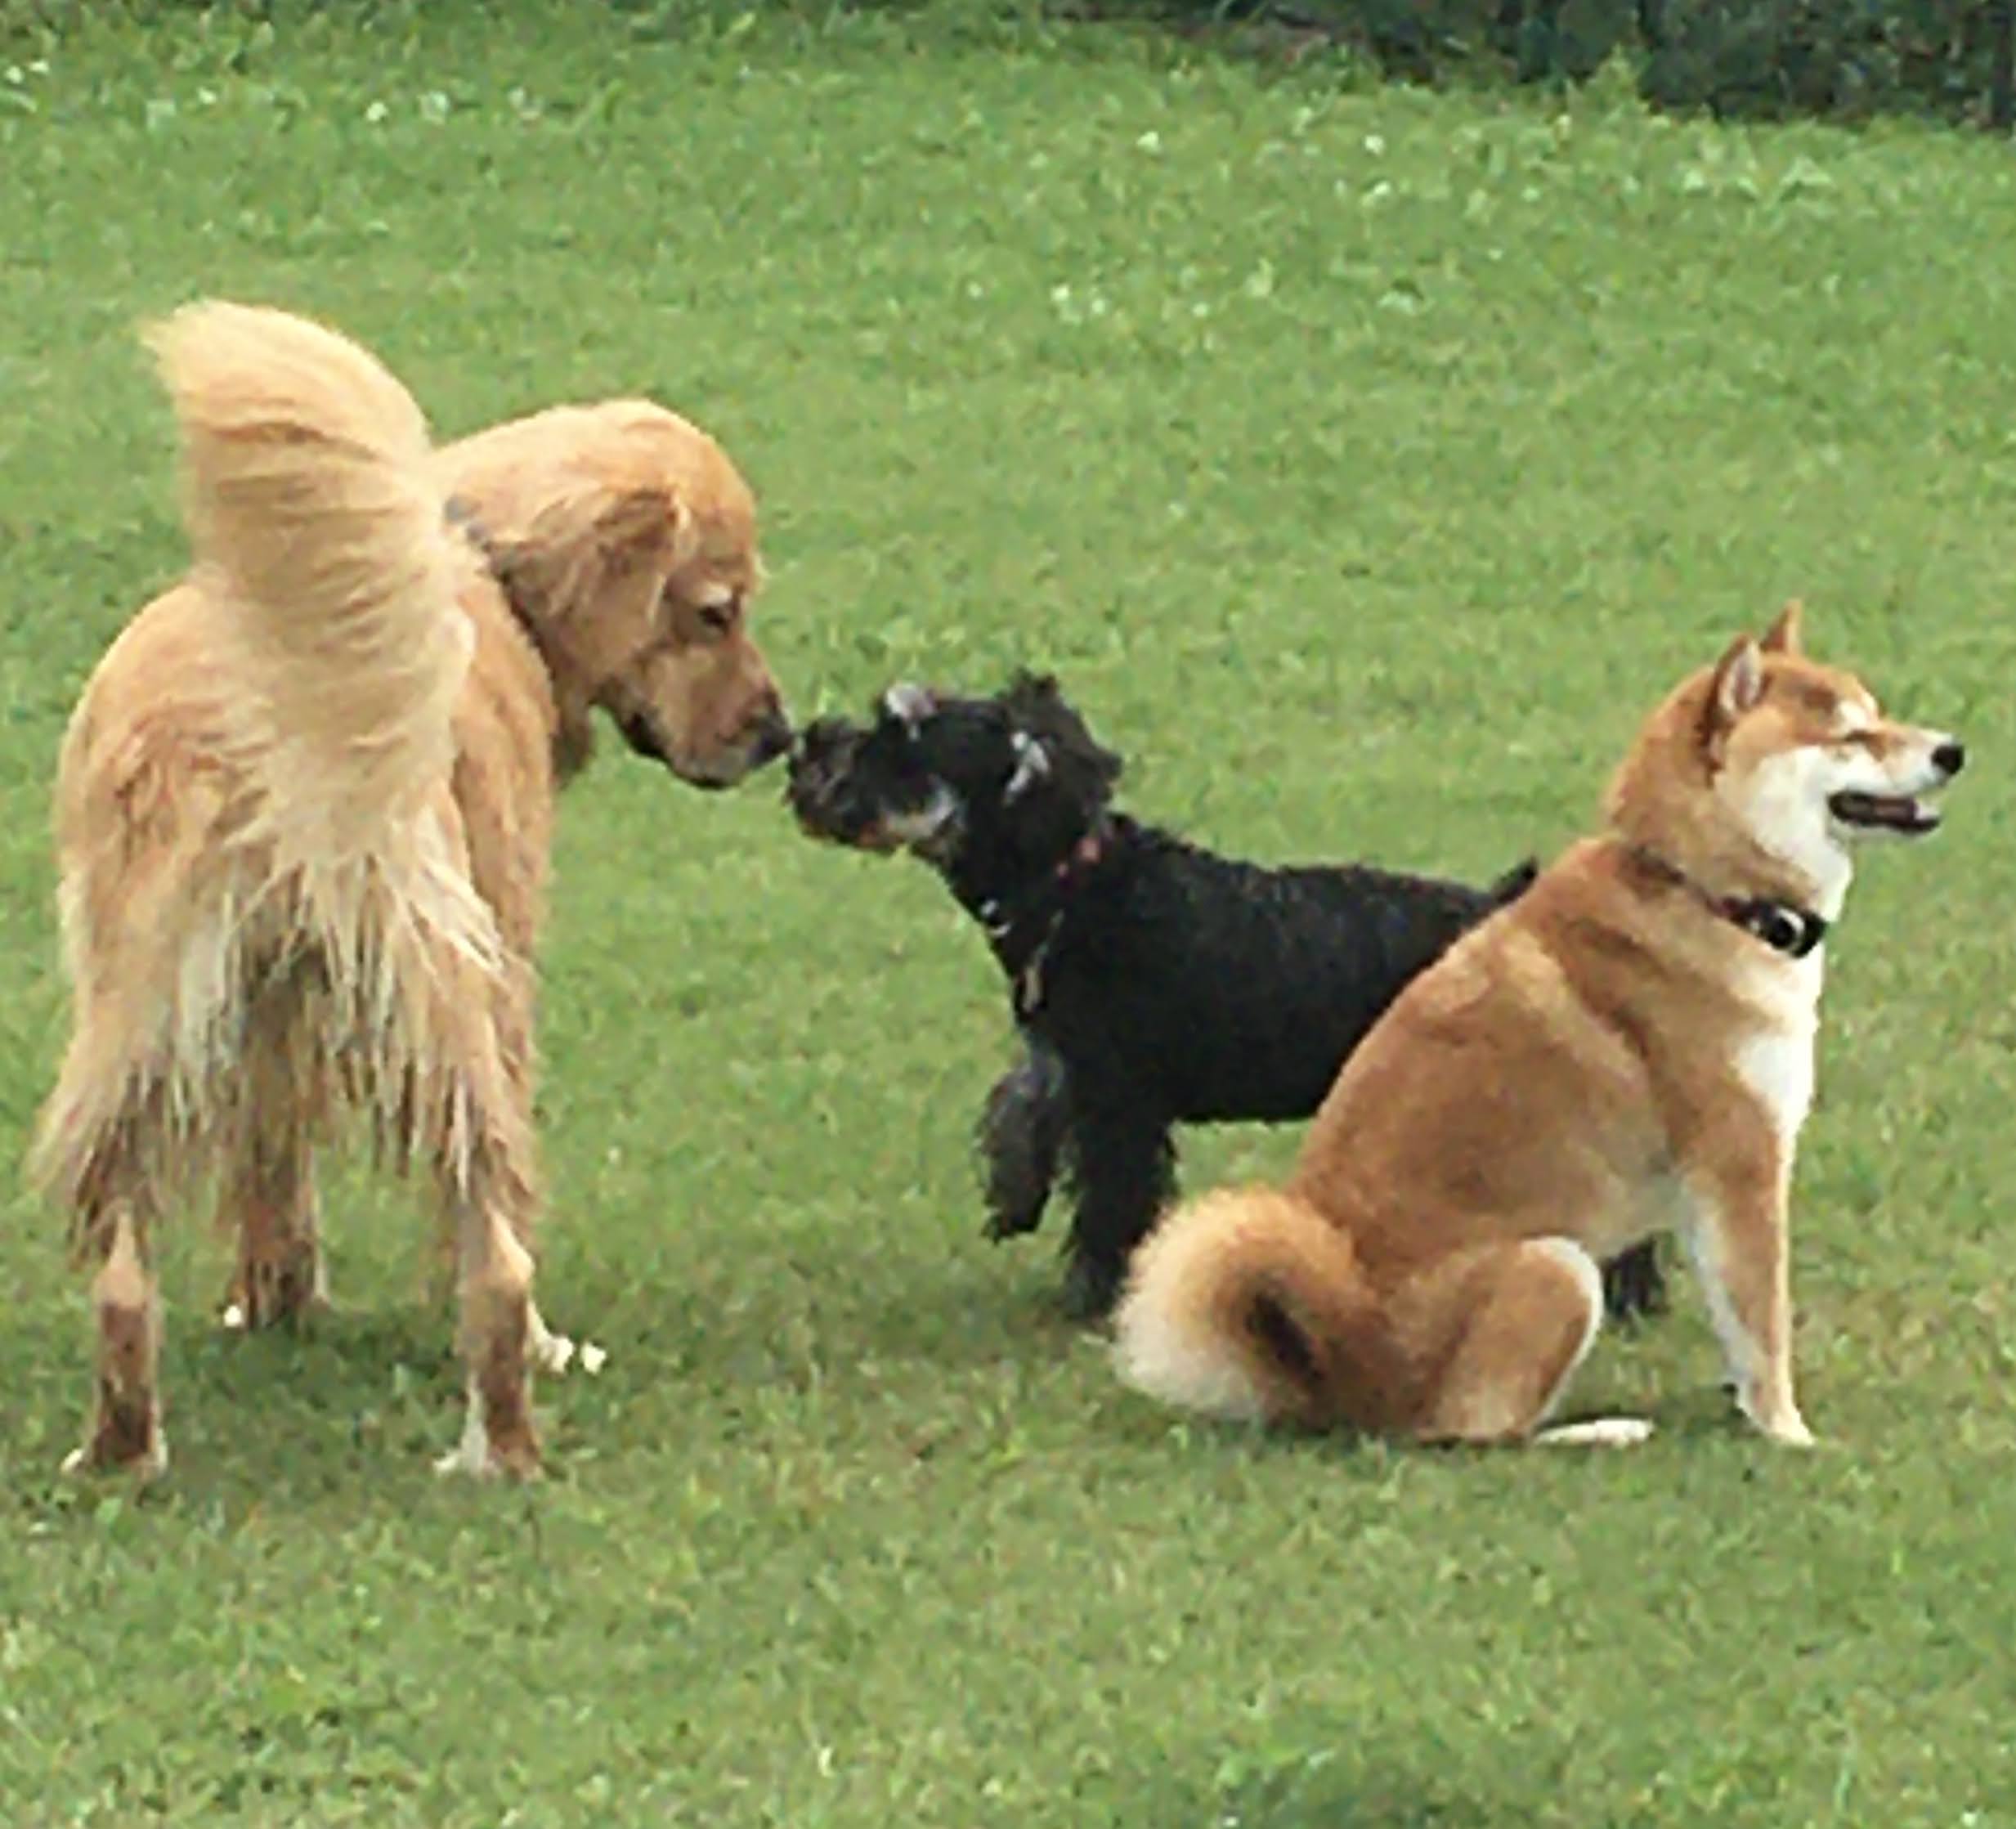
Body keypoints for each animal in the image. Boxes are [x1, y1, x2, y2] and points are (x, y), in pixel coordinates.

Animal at [29, 301, 790, 1480]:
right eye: (717, 611)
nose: (779, 732)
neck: (485, 566)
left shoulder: (271, 1007)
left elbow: (273, 1169)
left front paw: (277, 1302)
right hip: (454, 1001)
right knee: (497, 1252)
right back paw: (511, 1433)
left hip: (136, 1022)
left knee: (118, 1267)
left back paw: (120, 1452)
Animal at [787, 670, 1667, 1319]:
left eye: (901, 740)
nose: (806, 746)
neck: (1074, 885)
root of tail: (1505, 909)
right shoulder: (1071, 1065)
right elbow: (1027, 1105)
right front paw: (1016, 1196)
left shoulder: (1121, 1104)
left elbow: (1114, 1202)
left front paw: (1095, 1295)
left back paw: (1628, 1295)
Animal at [1114, 604, 1964, 1447]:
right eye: (1850, 734)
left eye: (1879, 712)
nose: (1952, 751)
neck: (1705, 893)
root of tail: (1332, 1366)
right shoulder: (1740, 1163)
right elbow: (1765, 1321)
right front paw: (1789, 1433)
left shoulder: (1708, 1193)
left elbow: (1736, 1320)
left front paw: (1746, 1407)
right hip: (1556, 1266)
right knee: (1475, 1431)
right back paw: (1599, 1430)